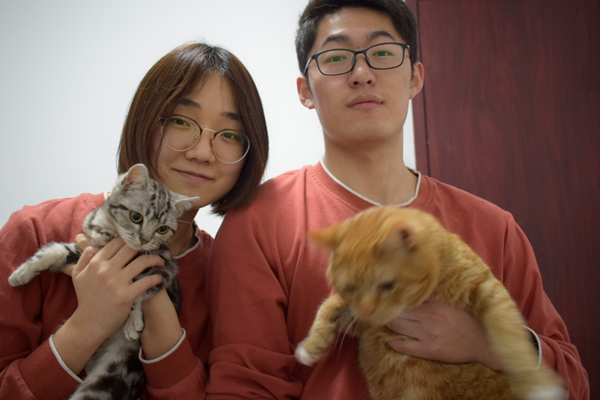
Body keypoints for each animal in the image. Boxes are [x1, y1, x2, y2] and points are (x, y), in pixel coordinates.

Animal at [9, 163, 199, 400]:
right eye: (136, 217)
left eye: (162, 229)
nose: (145, 240)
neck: (109, 235)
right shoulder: (89, 249)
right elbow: (57, 250)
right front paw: (23, 271)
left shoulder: (165, 267)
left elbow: (139, 287)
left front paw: (133, 321)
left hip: (111, 375)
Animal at [295, 206, 567, 400]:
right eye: (350, 287)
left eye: (387, 285)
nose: (367, 310)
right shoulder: (362, 323)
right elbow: (327, 306)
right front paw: (311, 345)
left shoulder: (489, 291)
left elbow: (509, 338)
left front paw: (536, 383)